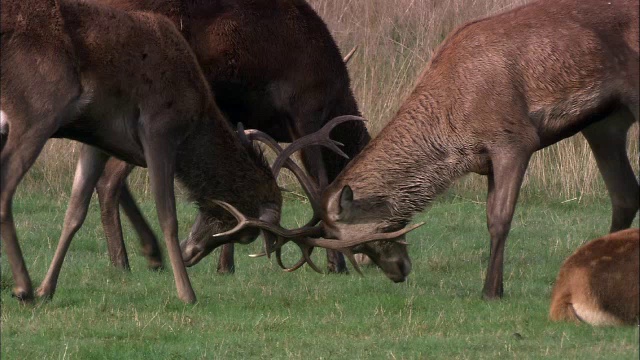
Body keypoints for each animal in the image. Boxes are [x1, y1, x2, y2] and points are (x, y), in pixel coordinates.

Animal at [0, 0, 284, 304]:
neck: (197, 114)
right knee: (6, 186)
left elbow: (75, 212)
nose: (190, 254)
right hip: (38, 109)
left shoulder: (95, 140)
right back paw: (23, 287)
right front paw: (186, 293)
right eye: (244, 234)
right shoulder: (159, 128)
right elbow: (167, 216)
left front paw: (48, 288)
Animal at [55, 0, 370, 274]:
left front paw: (224, 265)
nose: (366, 257)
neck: (335, 96)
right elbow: (320, 182)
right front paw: (336, 263)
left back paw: (143, 254)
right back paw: (125, 260)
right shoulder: (305, 109)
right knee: (110, 179)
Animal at [208, 0, 636, 300]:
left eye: (369, 239)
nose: (398, 271)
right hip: (604, 124)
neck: (455, 130)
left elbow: (498, 219)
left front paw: (490, 291)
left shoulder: (513, 138)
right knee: (624, 195)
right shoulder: (487, 160)